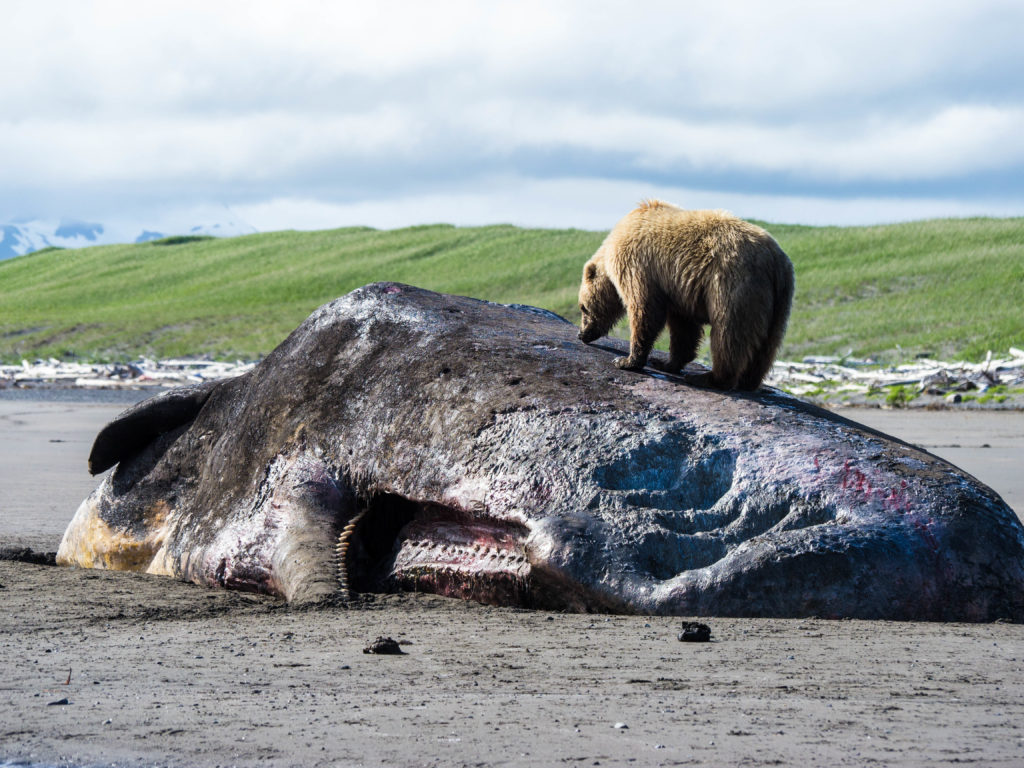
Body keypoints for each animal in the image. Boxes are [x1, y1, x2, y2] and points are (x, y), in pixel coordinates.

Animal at [577, 199, 790, 391]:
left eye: (583, 307)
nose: (581, 334)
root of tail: (772, 257)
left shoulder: (637, 265)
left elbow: (644, 309)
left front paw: (626, 360)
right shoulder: (679, 290)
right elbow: (684, 328)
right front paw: (665, 363)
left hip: (733, 285)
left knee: (729, 334)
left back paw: (708, 378)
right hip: (779, 300)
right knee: (767, 346)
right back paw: (749, 382)